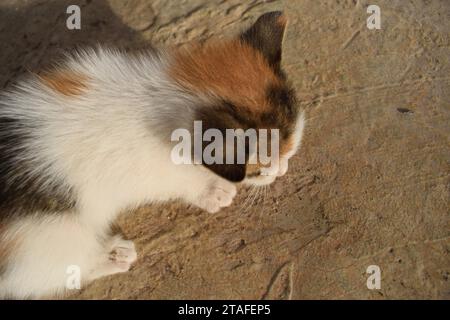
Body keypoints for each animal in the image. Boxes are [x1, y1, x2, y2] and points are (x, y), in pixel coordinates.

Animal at [0, 11, 306, 298]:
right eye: (260, 169)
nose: (281, 170)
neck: (165, 98)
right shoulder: (150, 172)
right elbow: (182, 180)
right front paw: (214, 192)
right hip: (48, 236)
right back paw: (113, 255)